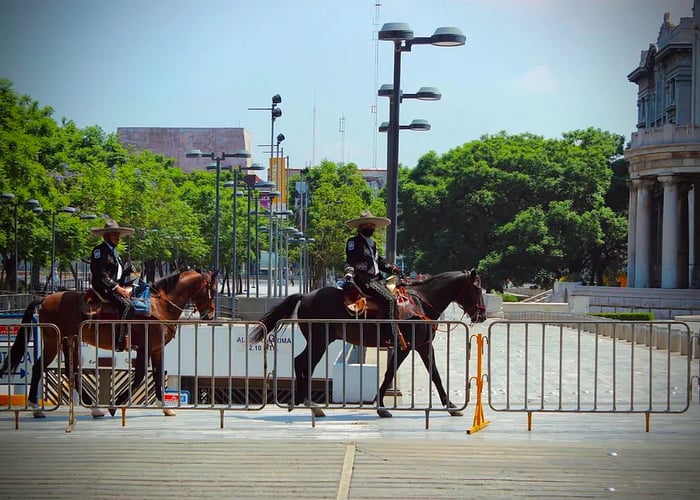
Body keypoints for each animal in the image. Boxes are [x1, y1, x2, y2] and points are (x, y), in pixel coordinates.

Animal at [0, 270, 219, 418]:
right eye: (213, 289)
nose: (210, 315)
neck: (158, 306)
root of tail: (45, 299)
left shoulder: (156, 349)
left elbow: (157, 376)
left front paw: (164, 406)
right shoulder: (145, 347)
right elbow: (140, 375)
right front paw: (116, 405)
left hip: (68, 341)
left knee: (71, 371)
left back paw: (93, 408)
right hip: (54, 340)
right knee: (40, 367)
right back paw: (37, 408)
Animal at [250, 270, 486, 418]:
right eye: (477, 289)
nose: (482, 315)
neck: (420, 302)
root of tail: (305, 296)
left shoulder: (423, 346)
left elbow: (434, 373)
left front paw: (451, 405)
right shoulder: (407, 347)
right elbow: (391, 373)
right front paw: (380, 405)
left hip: (318, 341)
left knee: (300, 362)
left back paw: (301, 402)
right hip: (319, 341)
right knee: (303, 364)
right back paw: (310, 404)